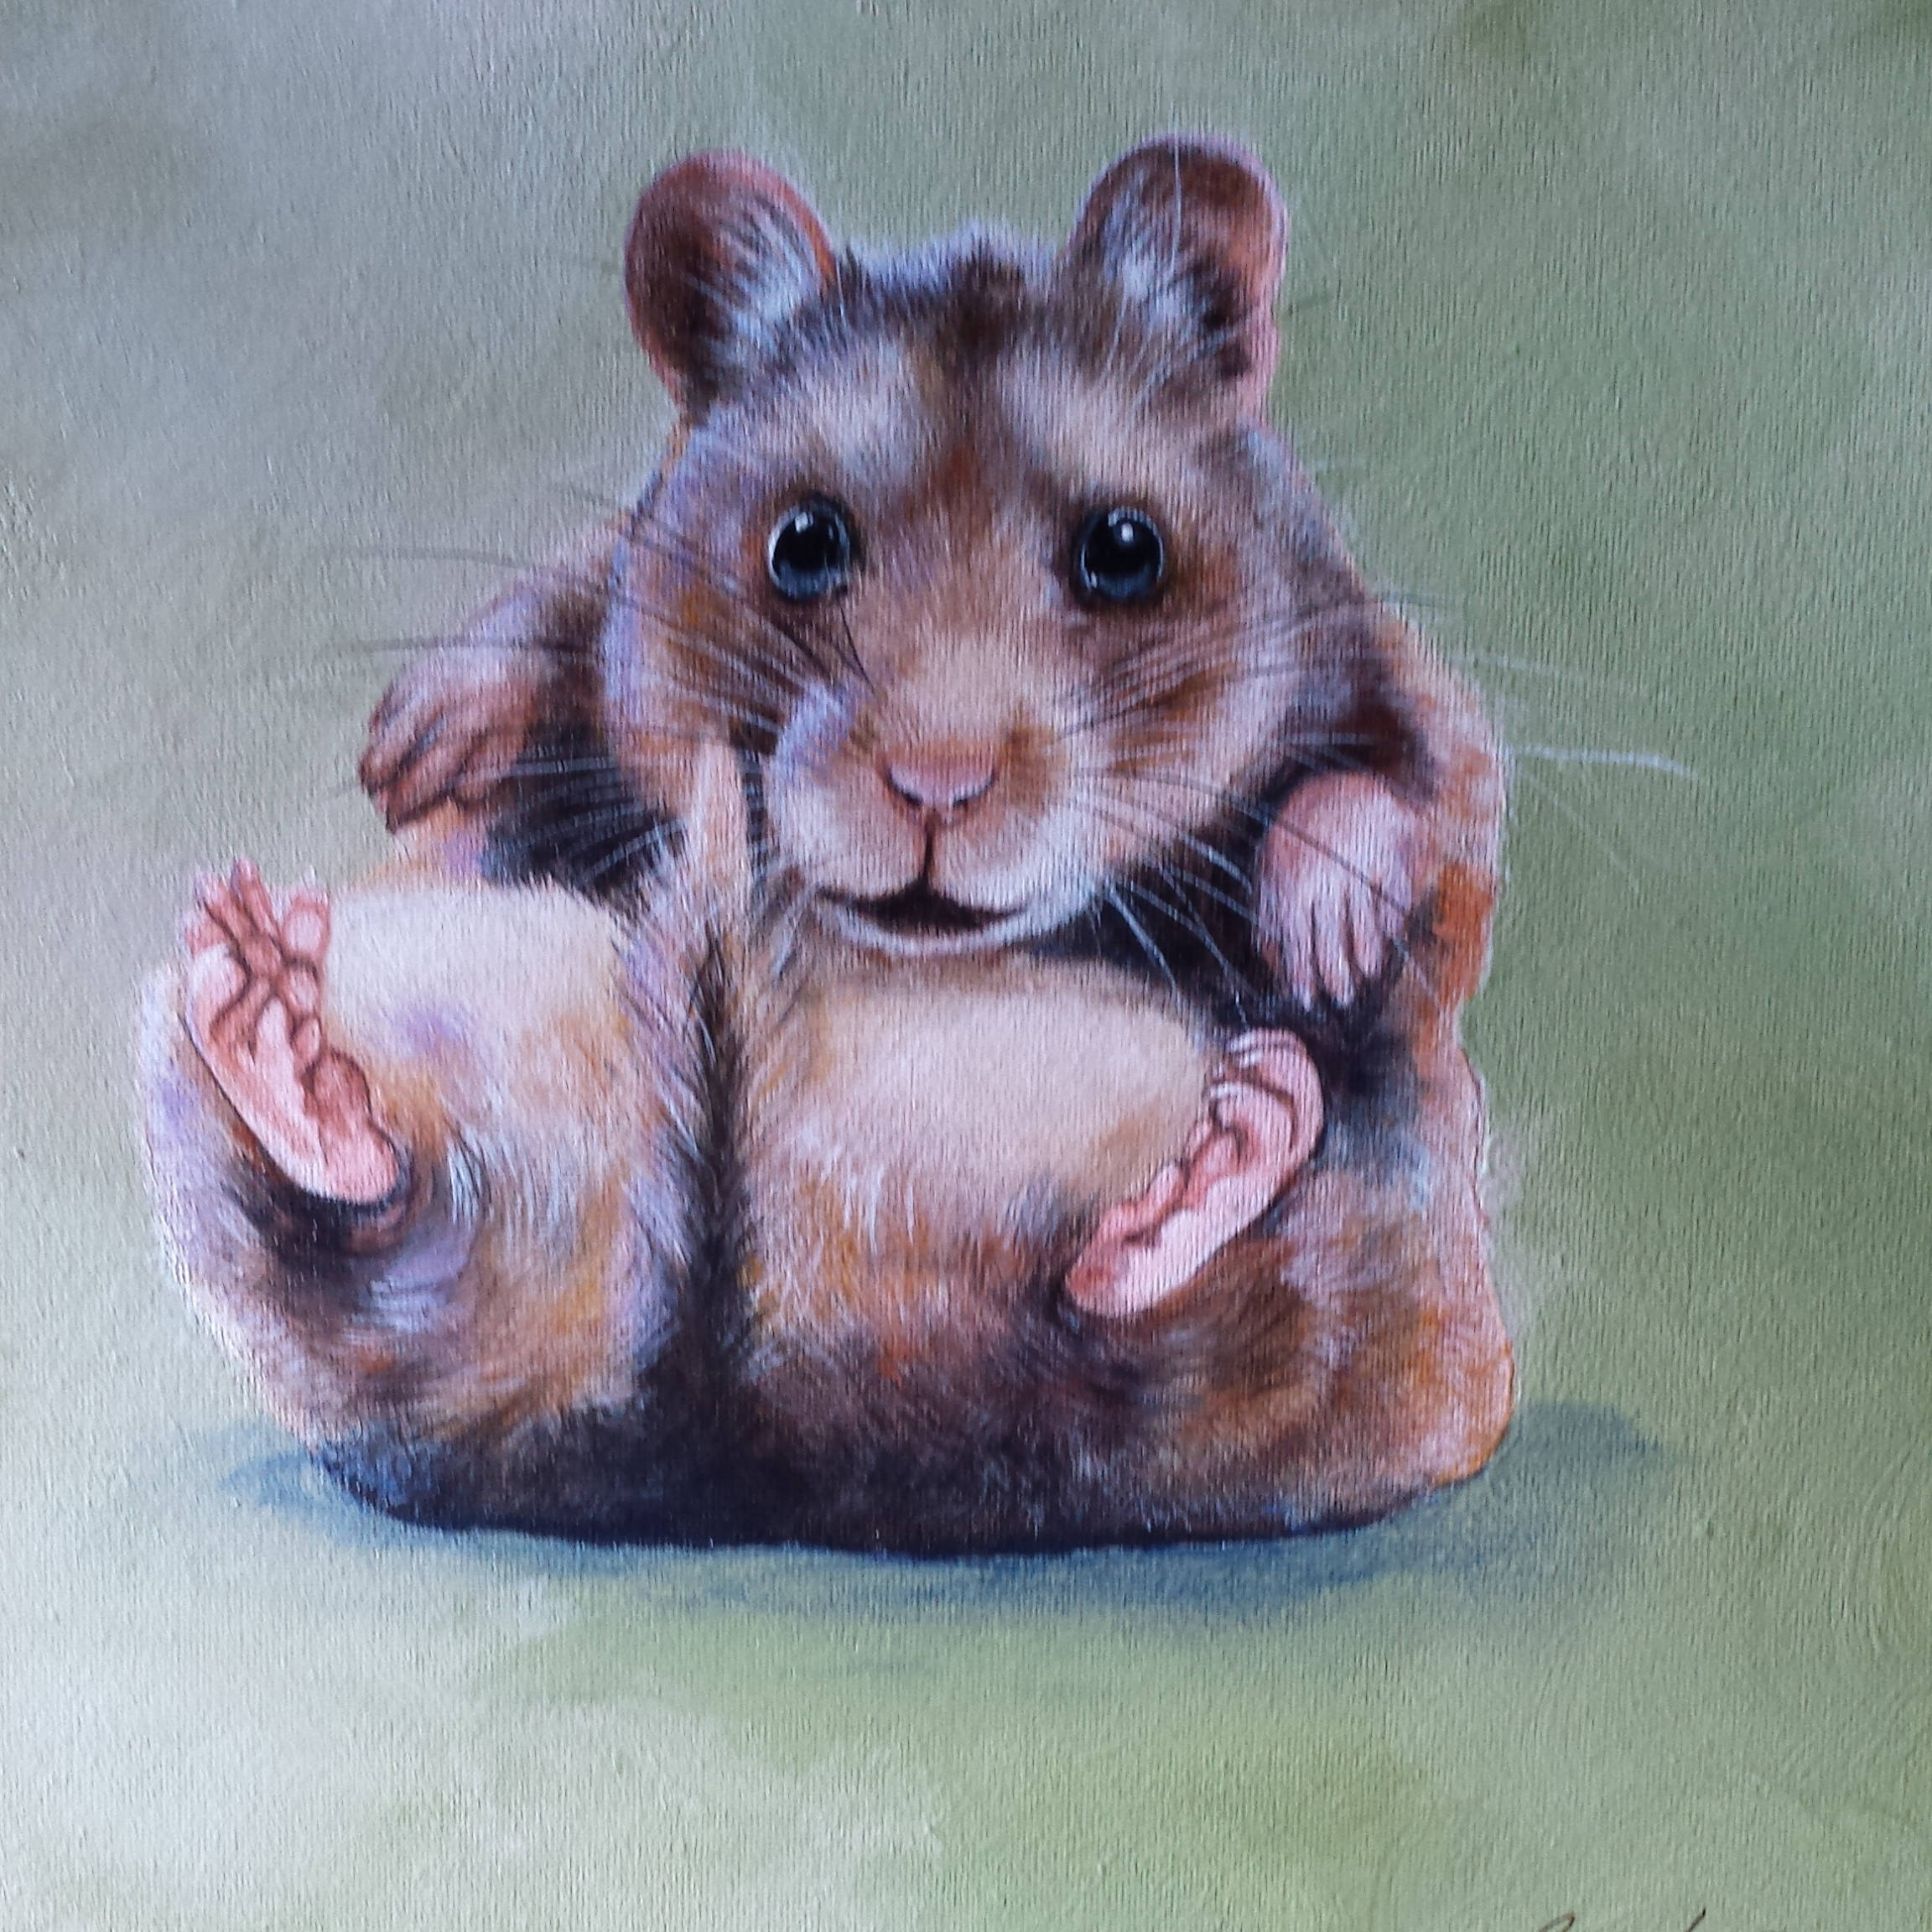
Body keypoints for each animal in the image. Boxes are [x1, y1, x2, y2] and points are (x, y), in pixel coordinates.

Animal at [138, 137, 1512, 1551]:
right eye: (803, 542)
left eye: (1124, 551)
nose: (934, 792)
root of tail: (752, 1434)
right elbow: (558, 608)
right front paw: (415, 743)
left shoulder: (1412, 693)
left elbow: (1408, 783)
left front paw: (1324, 922)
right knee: (363, 1229)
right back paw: (262, 992)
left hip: (1360, 1313)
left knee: (1145, 1317)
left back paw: (1241, 1125)